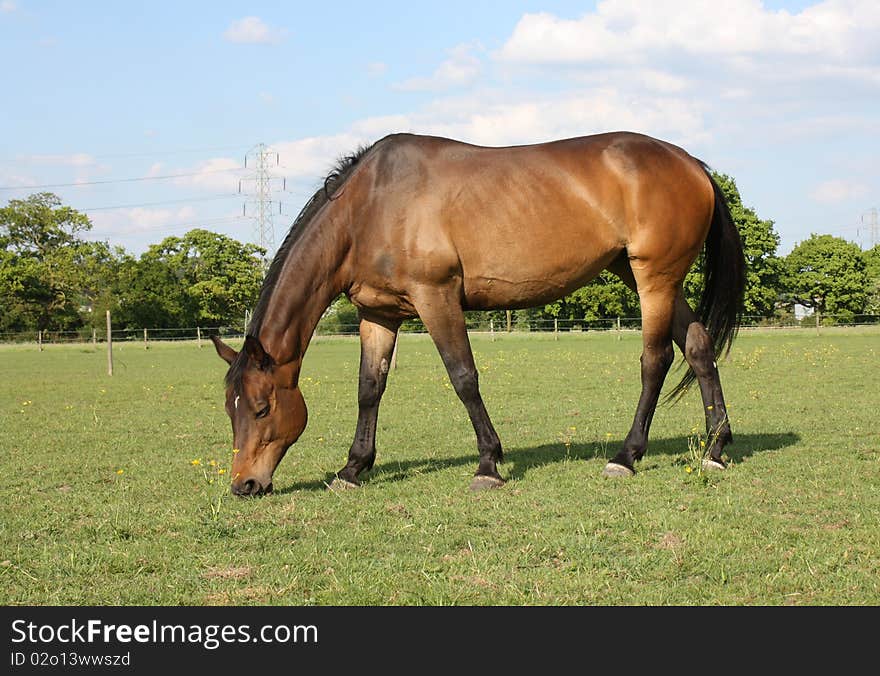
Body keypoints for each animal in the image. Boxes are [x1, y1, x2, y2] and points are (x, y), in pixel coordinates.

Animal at [211, 129, 744, 494]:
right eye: (229, 410)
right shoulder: (378, 315)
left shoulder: (437, 297)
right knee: (698, 348)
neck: (370, 207)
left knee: (656, 361)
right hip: (648, 277)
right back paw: (715, 448)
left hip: (653, 278)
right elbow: (369, 388)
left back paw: (627, 455)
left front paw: (488, 464)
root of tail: (692, 164)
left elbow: (463, 377)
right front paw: (353, 467)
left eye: (261, 408)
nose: (244, 485)